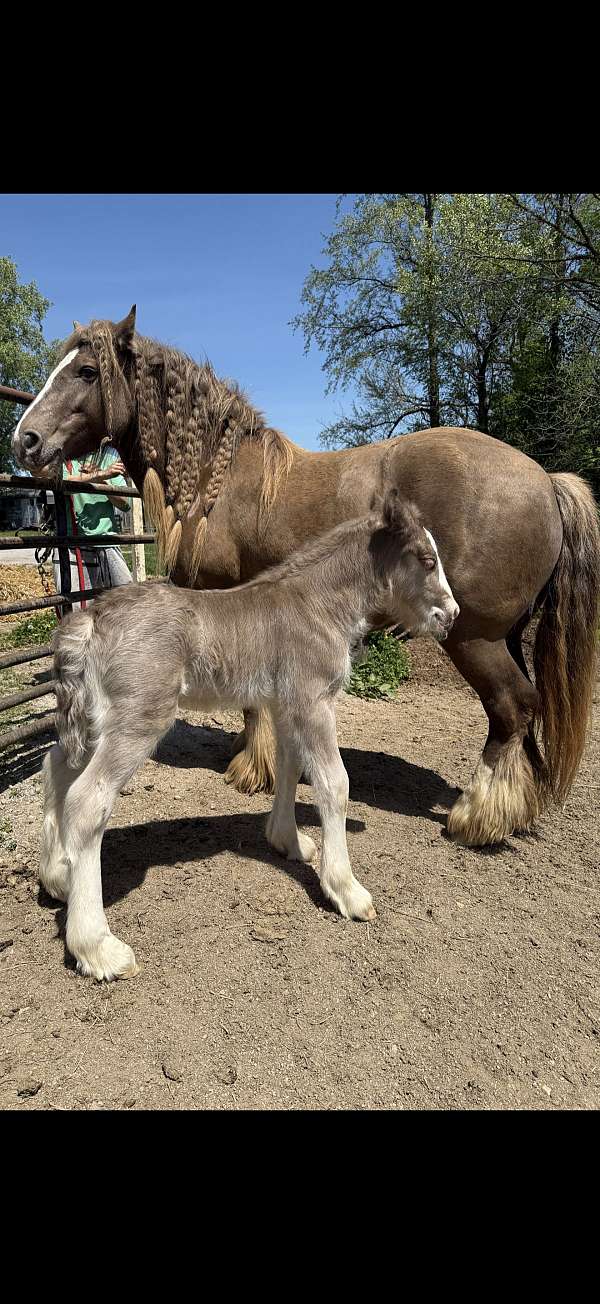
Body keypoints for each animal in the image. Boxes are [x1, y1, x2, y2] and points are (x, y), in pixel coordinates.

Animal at [12, 307, 600, 848]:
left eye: (87, 370)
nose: (25, 440)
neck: (218, 478)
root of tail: (546, 480)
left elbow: (251, 703)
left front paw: (252, 769)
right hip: (505, 635)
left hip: (472, 636)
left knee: (512, 708)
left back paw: (476, 817)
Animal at [41, 489, 459, 980]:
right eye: (427, 559)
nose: (451, 615)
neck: (317, 605)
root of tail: (89, 621)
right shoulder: (313, 701)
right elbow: (334, 783)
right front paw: (347, 889)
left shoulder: (285, 704)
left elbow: (290, 767)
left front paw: (288, 841)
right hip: (139, 718)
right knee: (88, 800)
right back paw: (97, 947)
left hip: (89, 719)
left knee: (58, 768)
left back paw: (58, 877)